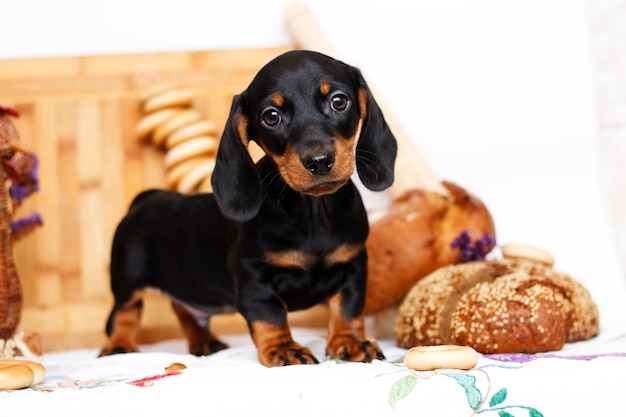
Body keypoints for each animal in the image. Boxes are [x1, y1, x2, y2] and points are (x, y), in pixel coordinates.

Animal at [100, 51, 398, 364]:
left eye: (339, 101)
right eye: (271, 116)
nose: (319, 161)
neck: (312, 213)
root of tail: (146, 198)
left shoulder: (353, 267)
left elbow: (348, 309)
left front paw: (350, 341)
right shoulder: (254, 278)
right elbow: (270, 316)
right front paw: (283, 349)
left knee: (184, 309)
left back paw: (203, 342)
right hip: (126, 281)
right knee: (123, 314)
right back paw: (119, 346)